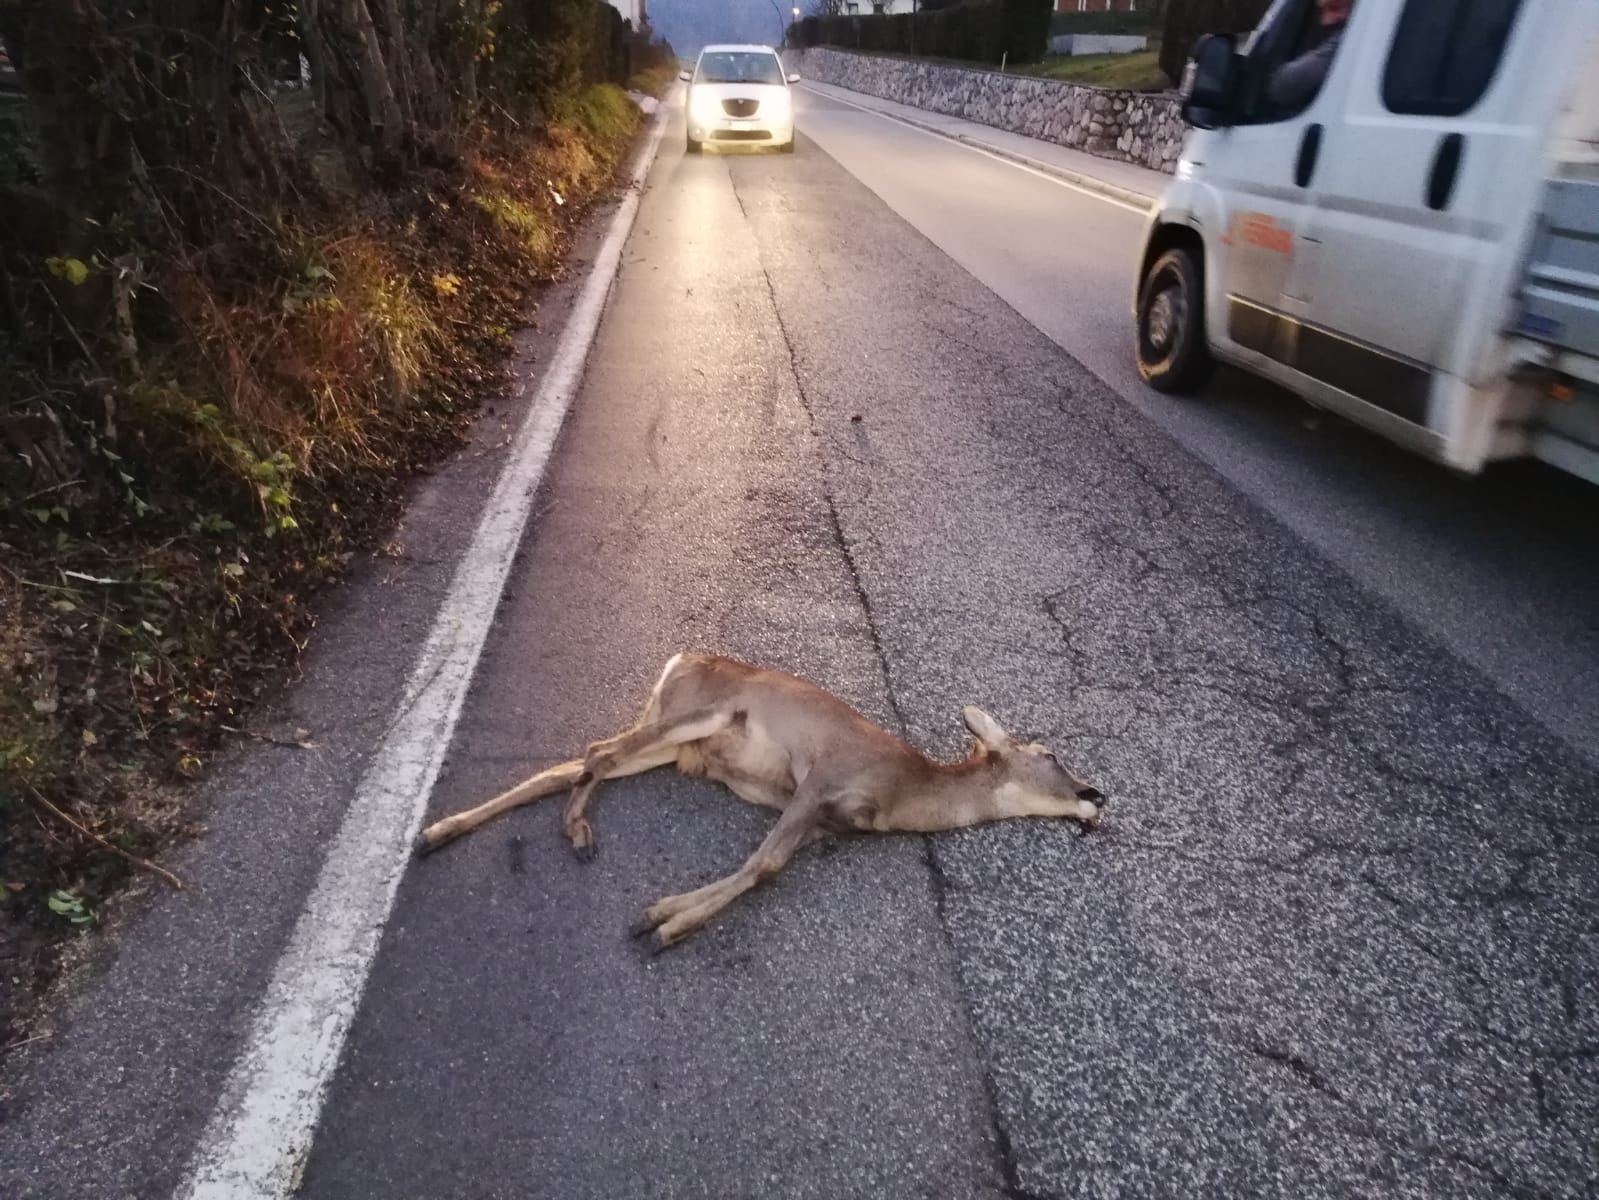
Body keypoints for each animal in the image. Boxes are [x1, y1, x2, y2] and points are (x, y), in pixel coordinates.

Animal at [412, 659, 1100, 947]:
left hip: (673, 741)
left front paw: (664, 916)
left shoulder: (824, 825)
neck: (907, 792)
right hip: (701, 711)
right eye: (1051, 755)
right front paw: (666, 923)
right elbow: (763, 864)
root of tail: (678, 660)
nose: (1096, 795)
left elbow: (764, 868)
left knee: (571, 764)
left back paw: (442, 831)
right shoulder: (821, 778)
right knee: (596, 751)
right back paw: (570, 829)